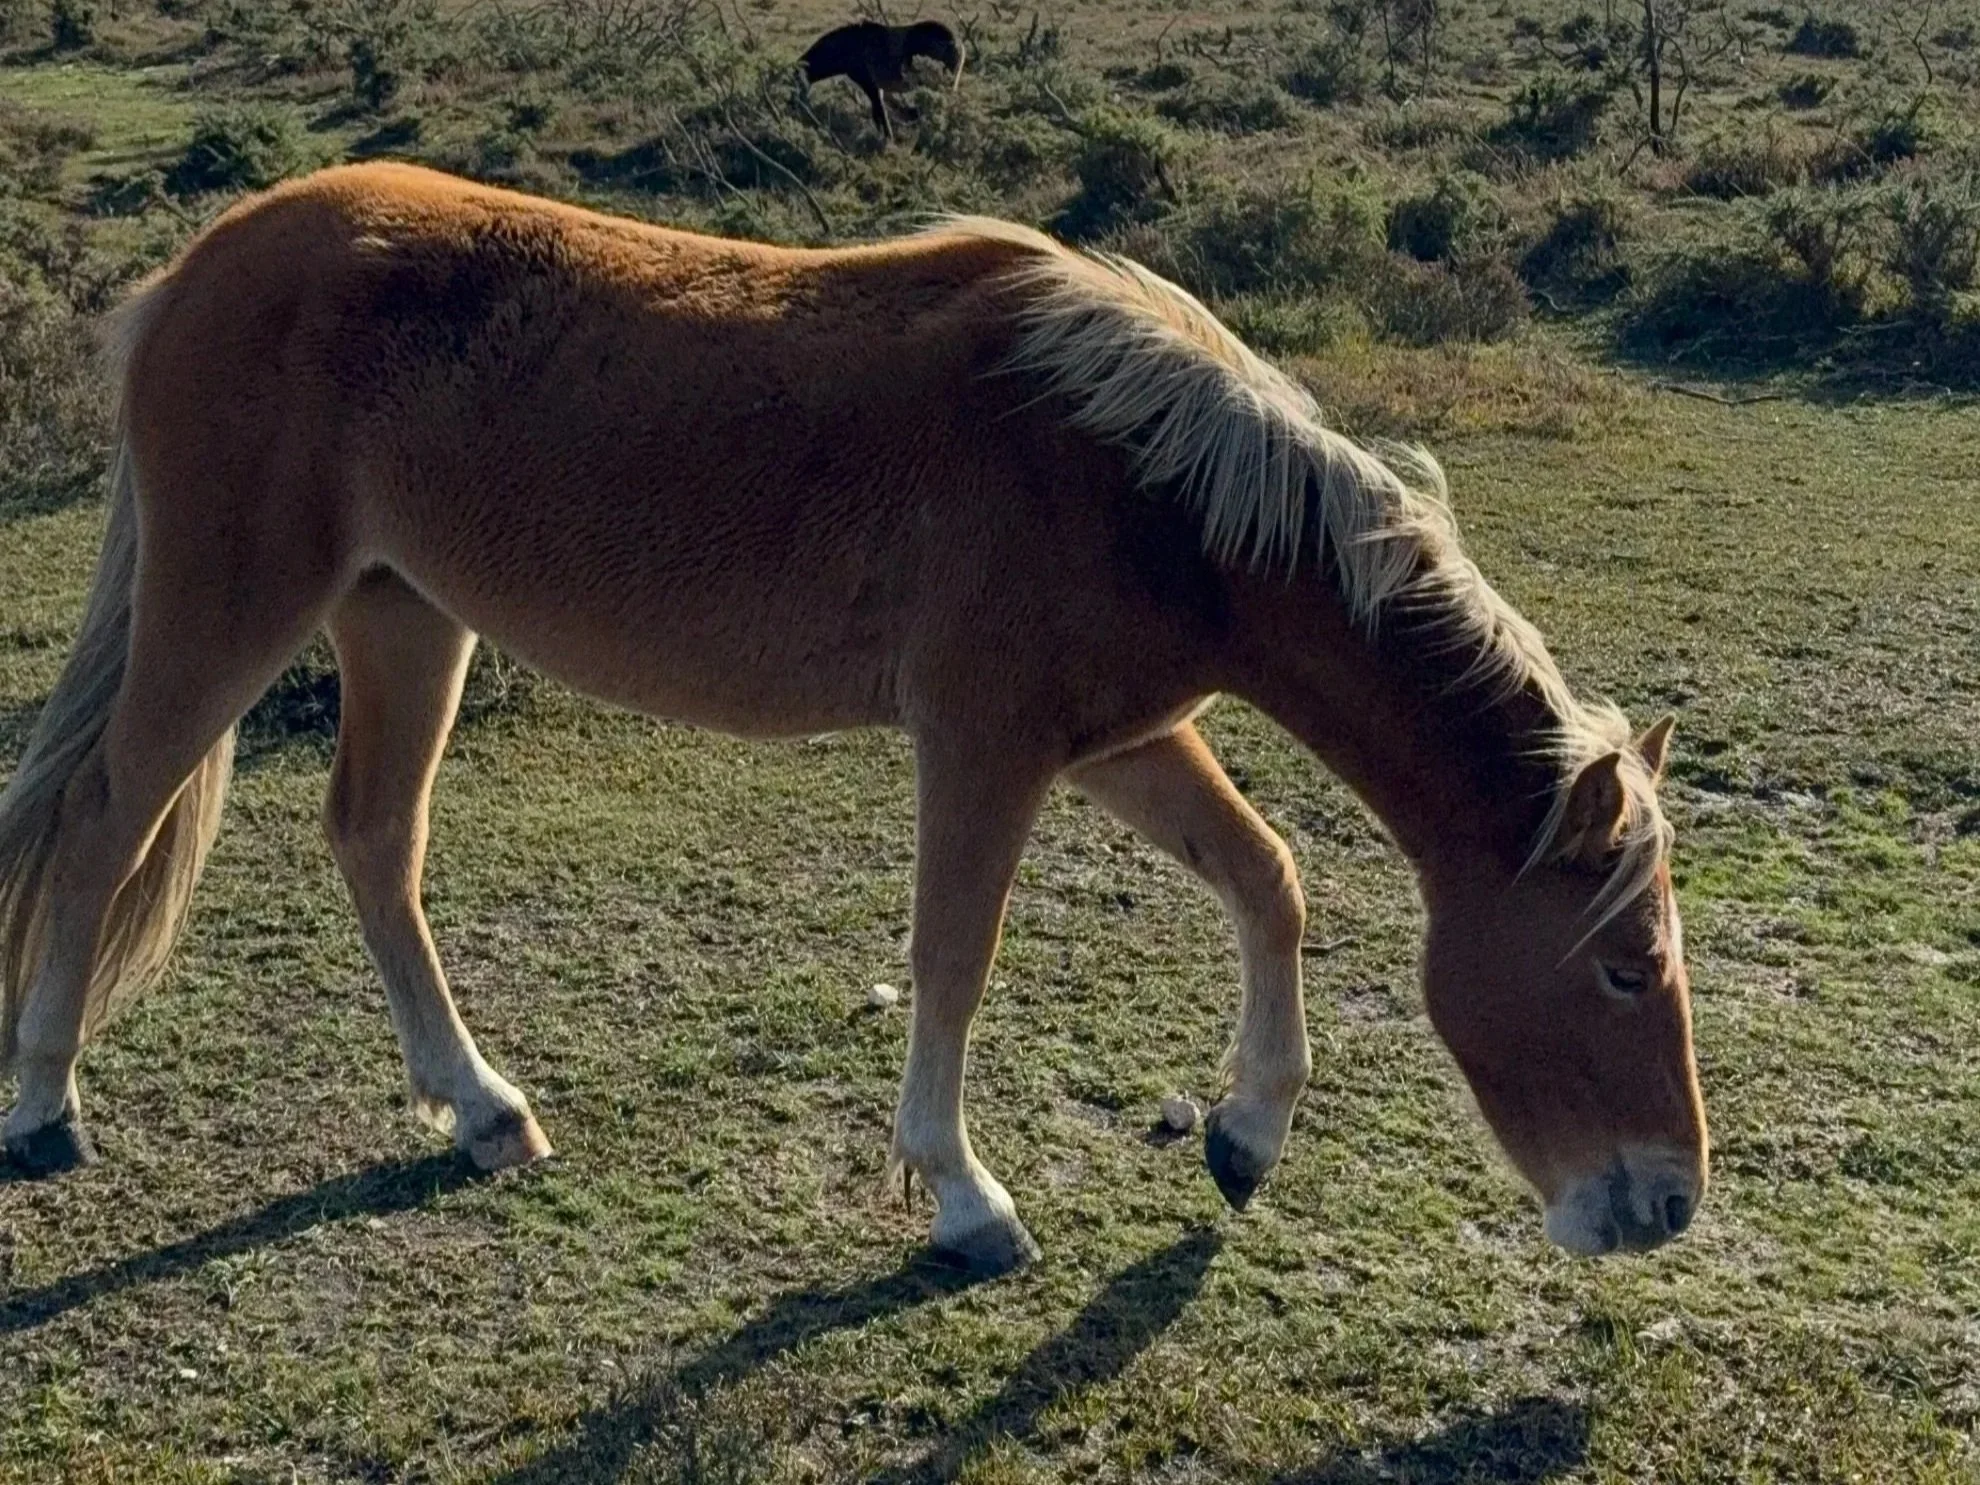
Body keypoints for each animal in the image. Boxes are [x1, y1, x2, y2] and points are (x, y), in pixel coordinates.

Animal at [0, 163, 1706, 1273]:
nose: (1669, 1204)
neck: (1142, 479)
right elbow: (954, 961)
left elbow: (1267, 879)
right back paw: (45, 1103)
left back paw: (480, 1108)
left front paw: (1247, 1132)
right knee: (102, 818)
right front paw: (963, 1198)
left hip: (403, 613)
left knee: (372, 843)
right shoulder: (988, 747)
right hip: (236, 609)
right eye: (1624, 969)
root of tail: (197, 268)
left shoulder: (1120, 737)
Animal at [799, 20, 965, 141]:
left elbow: (879, 112)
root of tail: (955, 42)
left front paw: (888, 138)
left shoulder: (869, 84)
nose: (802, 109)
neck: (849, 46)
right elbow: (886, 109)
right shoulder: (877, 87)